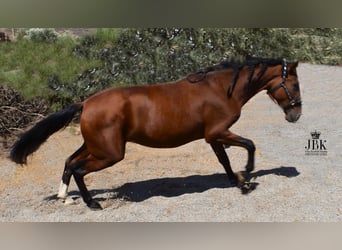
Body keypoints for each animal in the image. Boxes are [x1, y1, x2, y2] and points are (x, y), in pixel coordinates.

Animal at [9, 56, 300, 209]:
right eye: (295, 85)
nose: (295, 115)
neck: (220, 89)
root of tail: (86, 103)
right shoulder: (218, 132)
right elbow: (249, 144)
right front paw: (248, 175)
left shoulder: (213, 136)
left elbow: (225, 160)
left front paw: (237, 180)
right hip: (109, 153)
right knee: (79, 169)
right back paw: (92, 204)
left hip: (95, 146)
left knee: (70, 162)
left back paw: (64, 196)